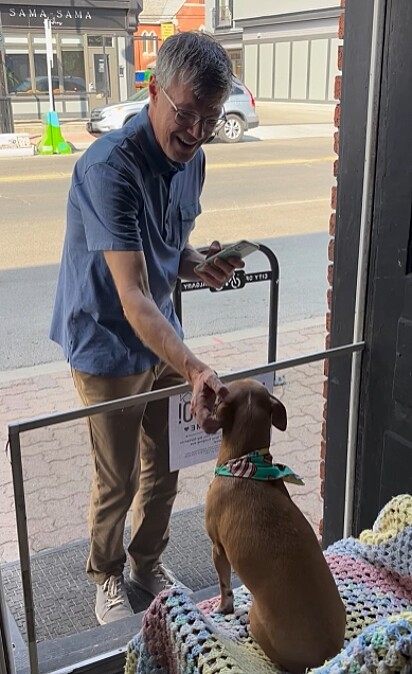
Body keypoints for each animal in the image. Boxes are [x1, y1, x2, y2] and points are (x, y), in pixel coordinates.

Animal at [205, 378, 344, 672]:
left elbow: (225, 587)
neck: (247, 464)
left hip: (258, 618)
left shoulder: (218, 549)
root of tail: (327, 655)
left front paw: (224, 608)